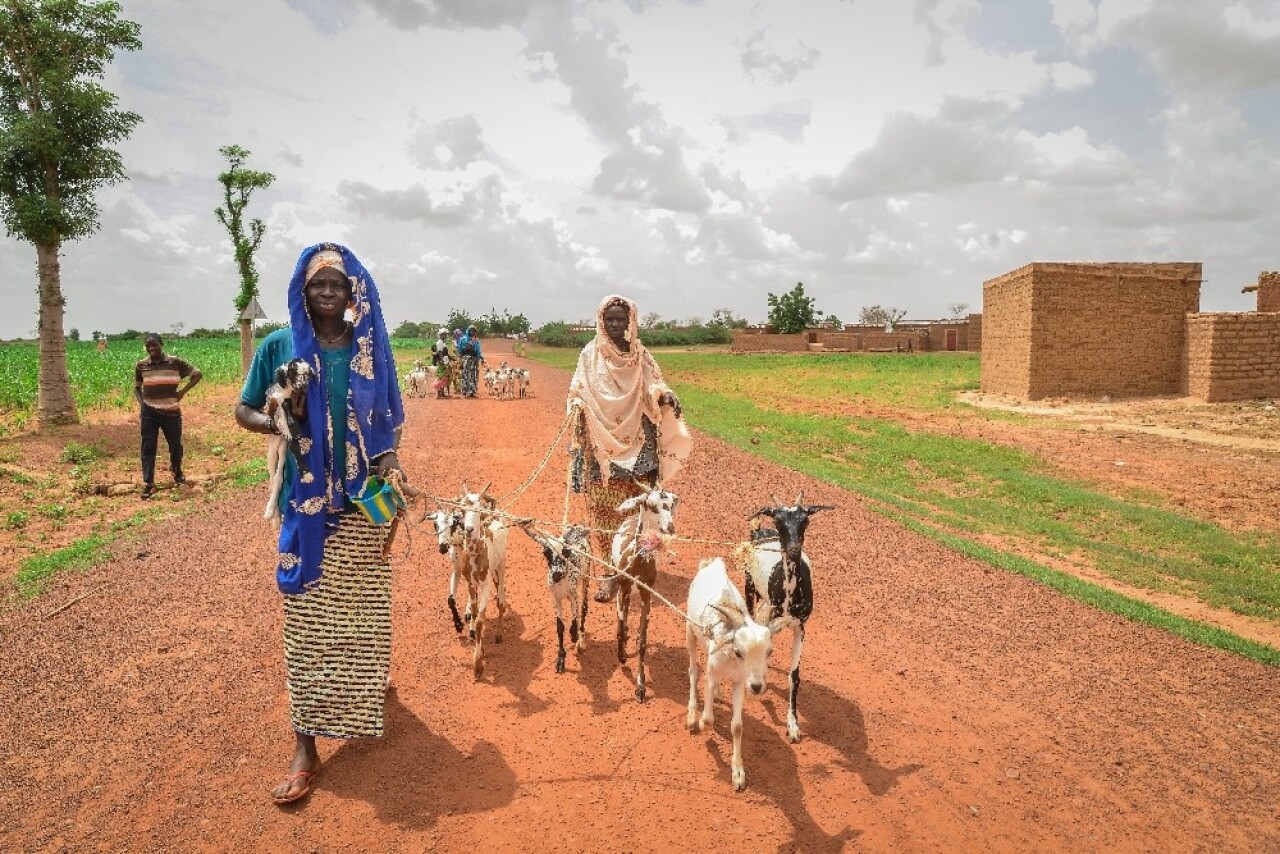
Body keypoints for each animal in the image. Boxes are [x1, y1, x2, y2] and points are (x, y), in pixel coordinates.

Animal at [263, 358, 313, 524]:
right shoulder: (273, 397)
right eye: (292, 372)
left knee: (279, 477)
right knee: (273, 479)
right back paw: (272, 512)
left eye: (307, 373)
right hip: (272, 452)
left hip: (283, 450)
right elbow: (279, 403)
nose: (303, 386)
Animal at [519, 522, 588, 676]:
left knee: (584, 608)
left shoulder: (573, 595)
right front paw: (561, 659)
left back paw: (581, 637)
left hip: (585, 580)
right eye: (546, 552)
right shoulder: (556, 599)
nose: (557, 573)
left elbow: (575, 619)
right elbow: (560, 626)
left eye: (566, 551)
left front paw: (575, 636)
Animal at [742, 494, 829, 742]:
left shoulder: (800, 626)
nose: (793, 551)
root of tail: (760, 532)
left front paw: (793, 726)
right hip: (749, 585)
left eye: (805, 521)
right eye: (779, 521)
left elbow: (794, 676)